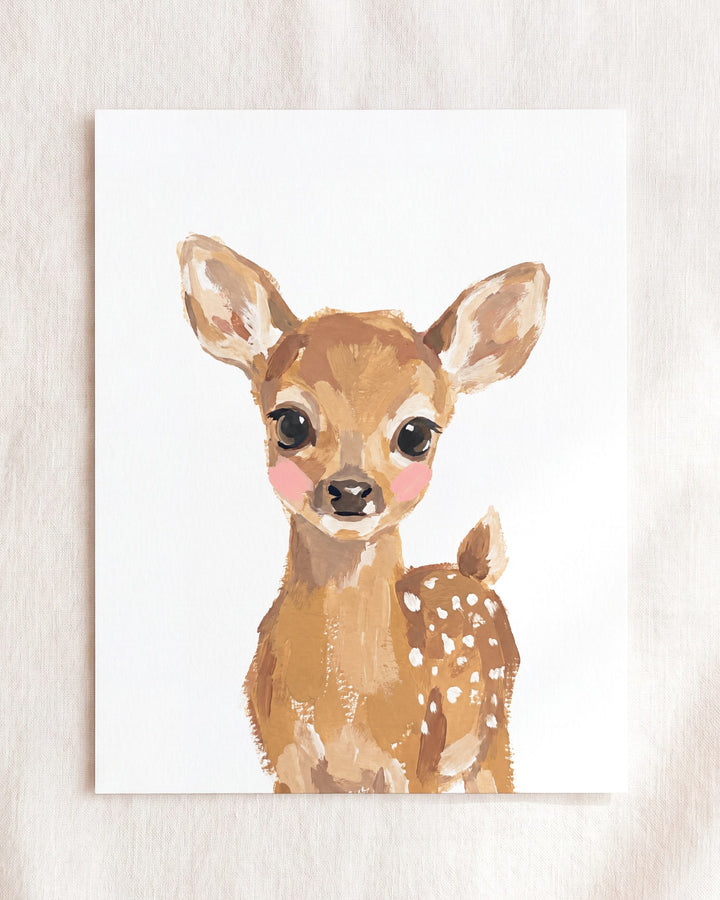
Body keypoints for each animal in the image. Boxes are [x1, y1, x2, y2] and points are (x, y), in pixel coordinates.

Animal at [179, 234, 549, 793]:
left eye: (417, 433)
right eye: (290, 422)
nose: (351, 489)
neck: (344, 707)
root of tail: (473, 572)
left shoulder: (410, 761)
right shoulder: (285, 764)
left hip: (492, 734)